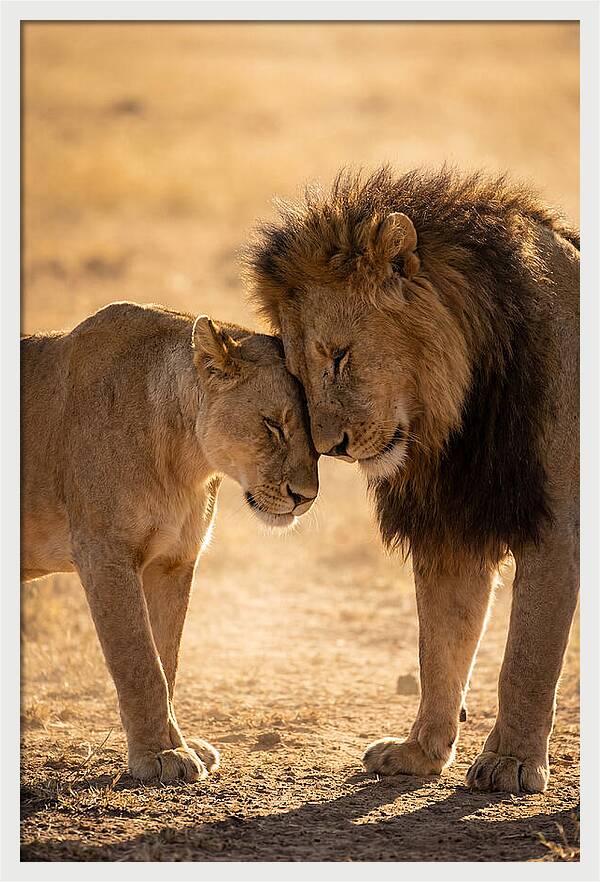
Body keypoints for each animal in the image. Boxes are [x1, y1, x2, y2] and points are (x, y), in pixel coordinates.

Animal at [21, 301, 318, 782]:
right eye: (273, 426)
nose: (305, 497)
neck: (186, 460)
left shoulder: (174, 560)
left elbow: (167, 659)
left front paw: (179, 743)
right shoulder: (104, 553)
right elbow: (141, 663)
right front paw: (161, 754)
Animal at [245, 166, 579, 794]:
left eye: (339, 356)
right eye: (297, 374)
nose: (331, 448)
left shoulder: (556, 526)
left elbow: (526, 657)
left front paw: (511, 762)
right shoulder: (451, 529)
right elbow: (440, 647)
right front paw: (420, 752)